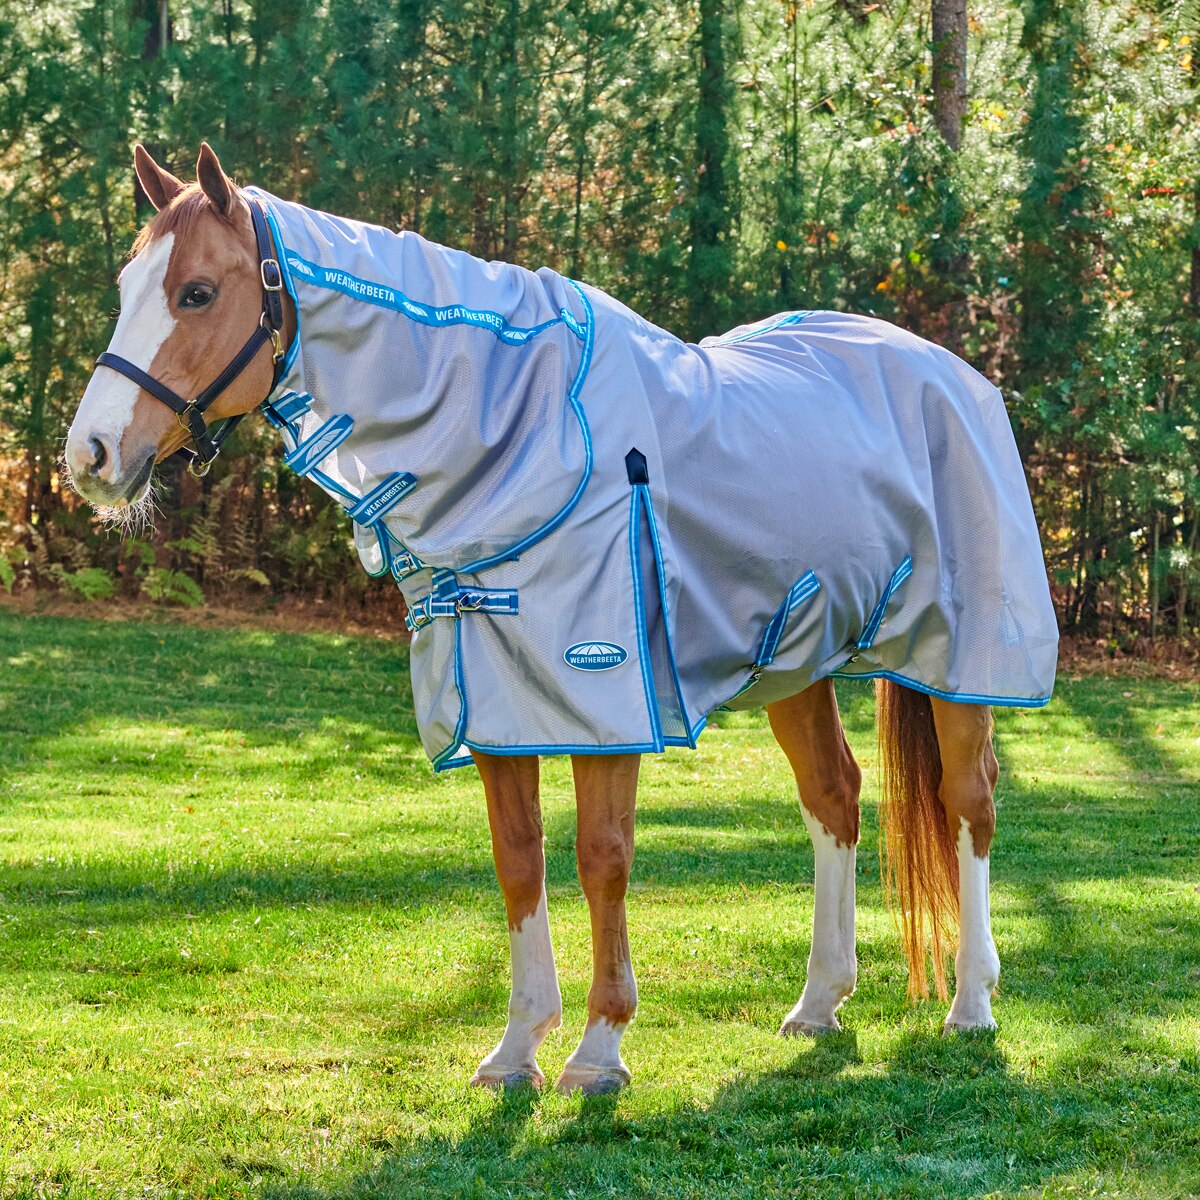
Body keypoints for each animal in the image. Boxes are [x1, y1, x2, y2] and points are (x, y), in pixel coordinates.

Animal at [65, 143, 1058, 1095]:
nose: (91, 456)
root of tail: (949, 372)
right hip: (797, 661)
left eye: (197, 292)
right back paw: (819, 1003)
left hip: (961, 662)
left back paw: (972, 1004)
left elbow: (601, 857)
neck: (527, 434)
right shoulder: (499, 709)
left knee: (968, 801)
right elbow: (519, 859)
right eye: (126, 288)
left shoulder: (609, 706)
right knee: (834, 797)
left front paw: (600, 1048)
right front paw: (516, 1049)